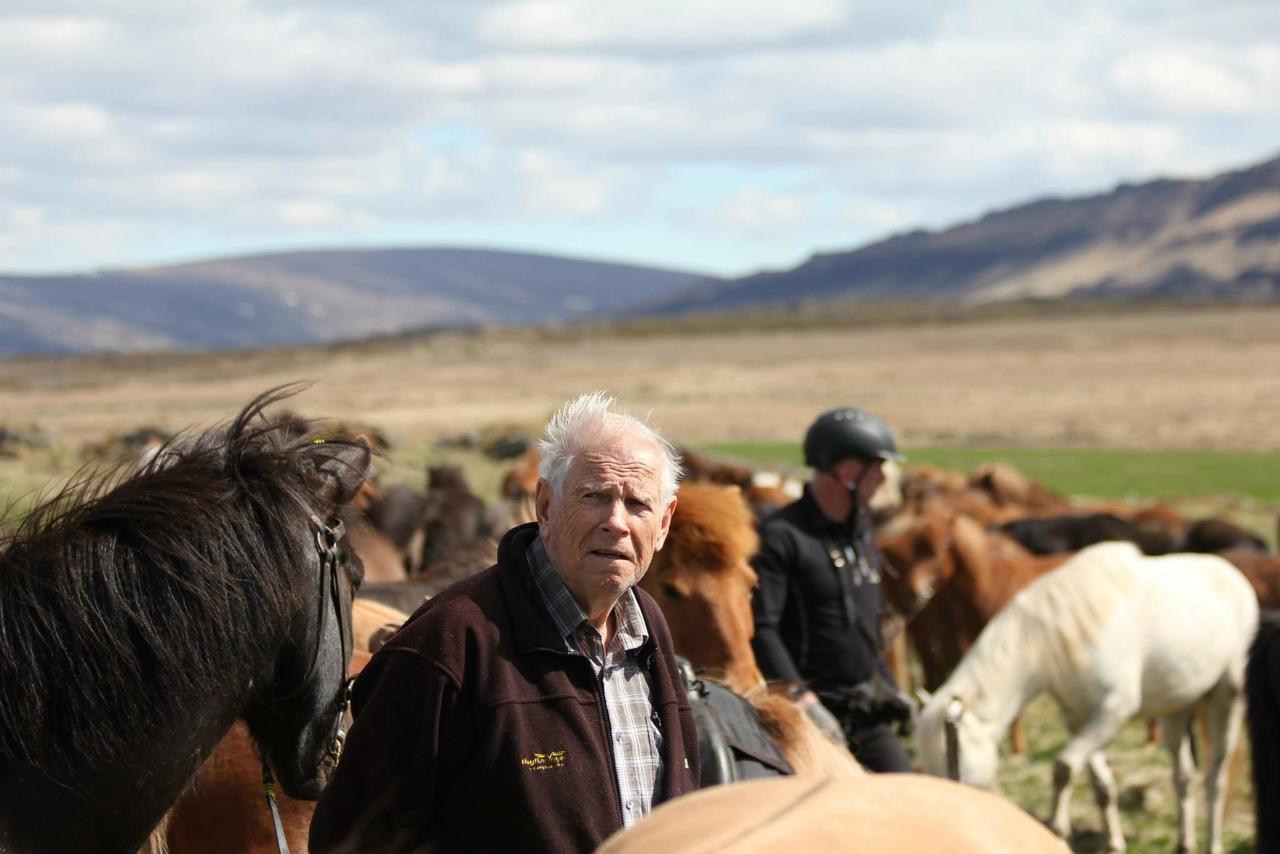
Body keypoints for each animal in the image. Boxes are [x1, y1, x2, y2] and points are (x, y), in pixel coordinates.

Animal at [916, 540, 1254, 854]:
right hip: (1176, 706)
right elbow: (1101, 785)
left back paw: (1213, 843)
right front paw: (1114, 844)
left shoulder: (1113, 710)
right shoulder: (1081, 718)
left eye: (952, 753)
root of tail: (1234, 576)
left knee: (1216, 775)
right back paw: (1185, 843)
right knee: (1183, 775)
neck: (1054, 637)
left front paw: (1056, 831)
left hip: (1227, 694)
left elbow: (1063, 768)